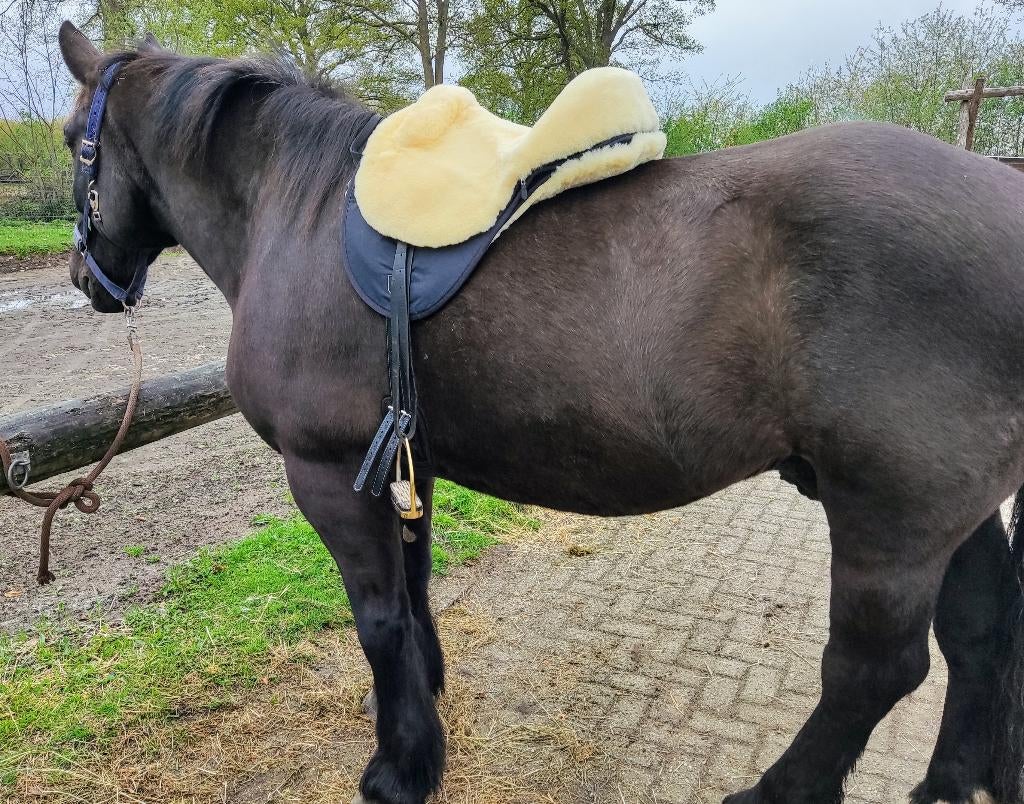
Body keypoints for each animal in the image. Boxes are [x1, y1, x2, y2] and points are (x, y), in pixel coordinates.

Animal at [56, 22, 1024, 804]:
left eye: (73, 141)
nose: (86, 280)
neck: (297, 214)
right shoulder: (406, 461)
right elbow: (413, 586)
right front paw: (421, 704)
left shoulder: (327, 471)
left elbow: (377, 614)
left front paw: (401, 768)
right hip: (953, 509)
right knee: (979, 631)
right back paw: (949, 783)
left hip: (890, 515)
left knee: (874, 670)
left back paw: (774, 792)